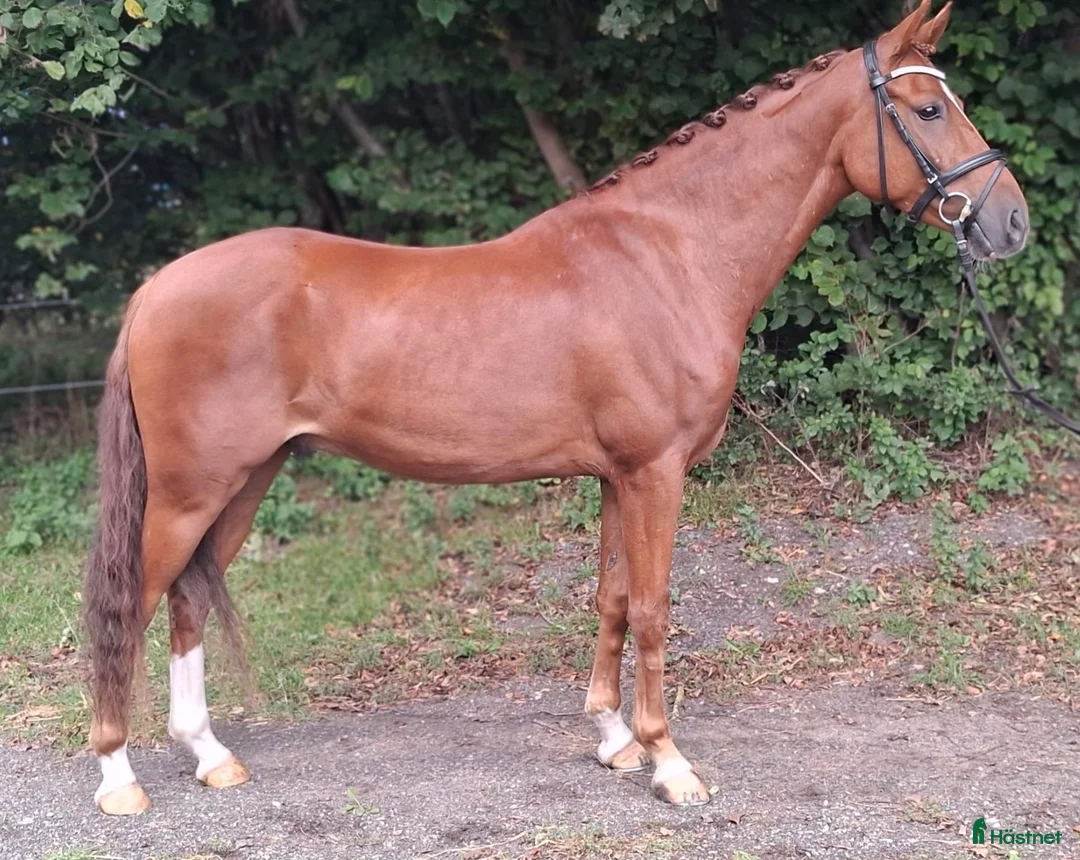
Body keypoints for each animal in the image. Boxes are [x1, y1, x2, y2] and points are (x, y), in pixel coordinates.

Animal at [84, 0, 1028, 815]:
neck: (669, 253)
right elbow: (652, 608)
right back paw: (119, 776)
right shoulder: (656, 473)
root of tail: (156, 290)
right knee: (130, 605)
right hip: (190, 492)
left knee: (189, 602)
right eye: (926, 108)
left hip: (243, 482)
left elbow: (610, 598)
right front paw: (669, 762)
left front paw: (614, 740)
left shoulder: (617, 476)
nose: (1010, 223)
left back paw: (210, 757)